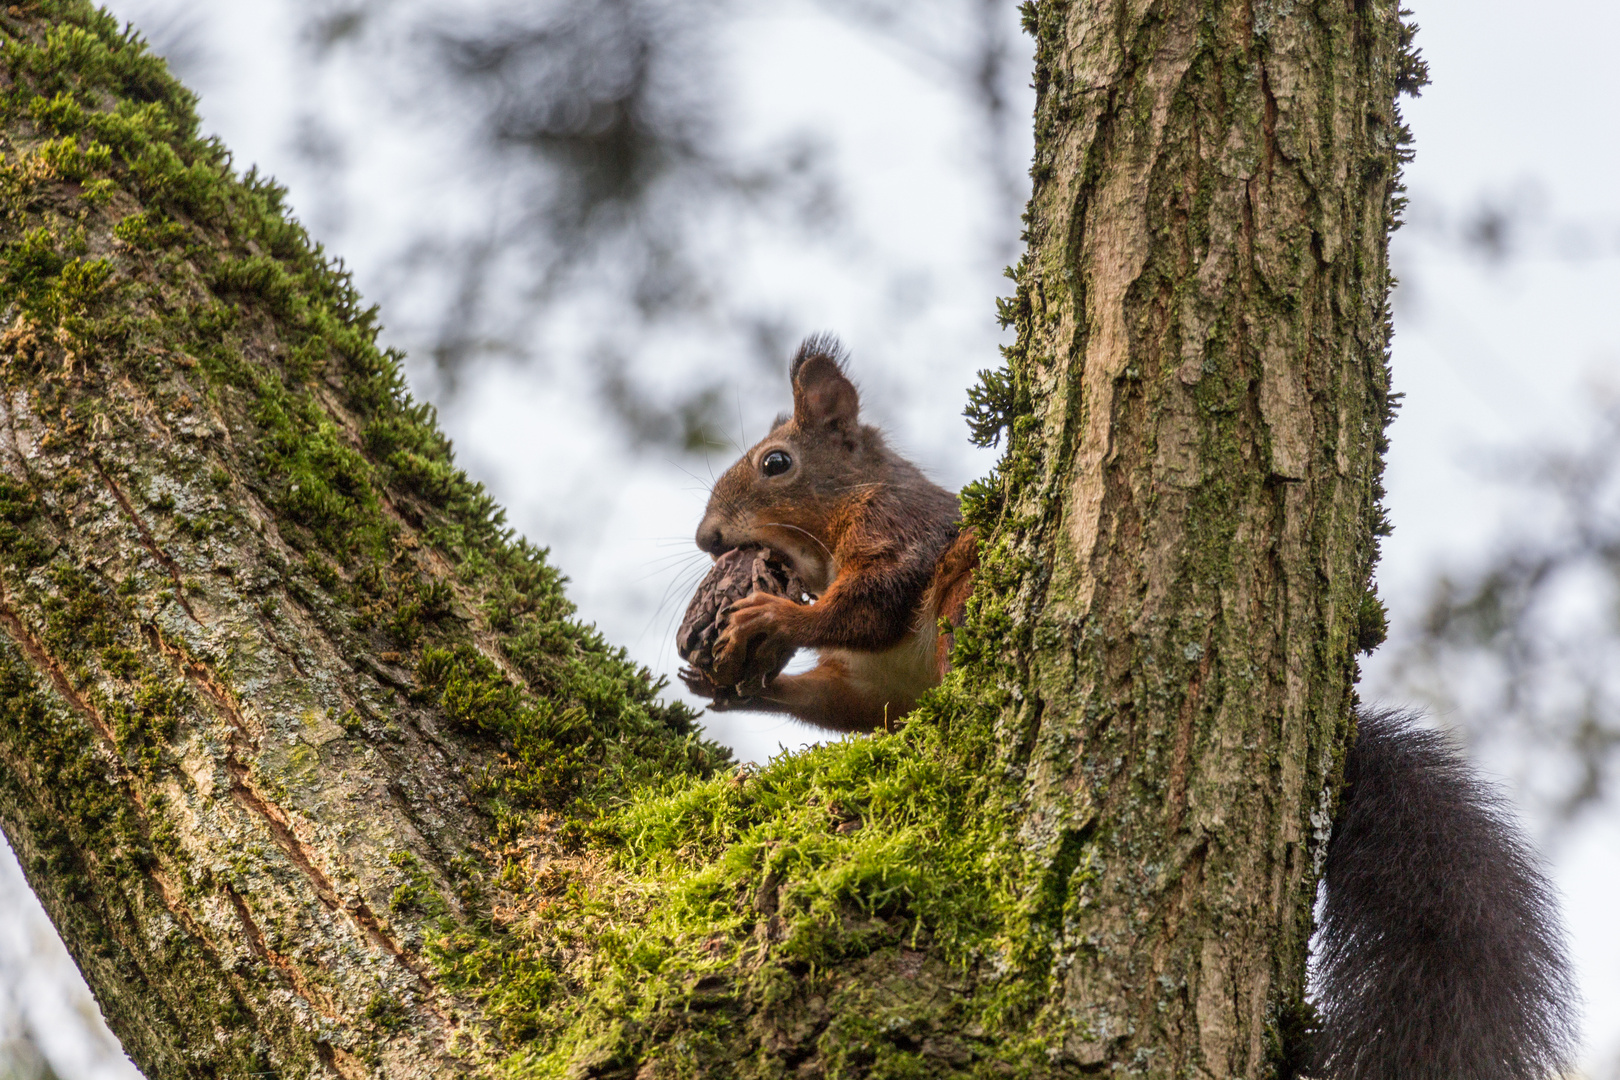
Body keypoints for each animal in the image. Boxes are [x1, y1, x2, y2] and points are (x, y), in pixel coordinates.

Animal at [686, 333, 1581, 1075]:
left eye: (775, 463)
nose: (705, 539)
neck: (836, 526)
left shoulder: (902, 533)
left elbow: (868, 605)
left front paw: (771, 620)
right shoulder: (874, 684)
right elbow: (847, 696)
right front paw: (731, 684)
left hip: (966, 587)